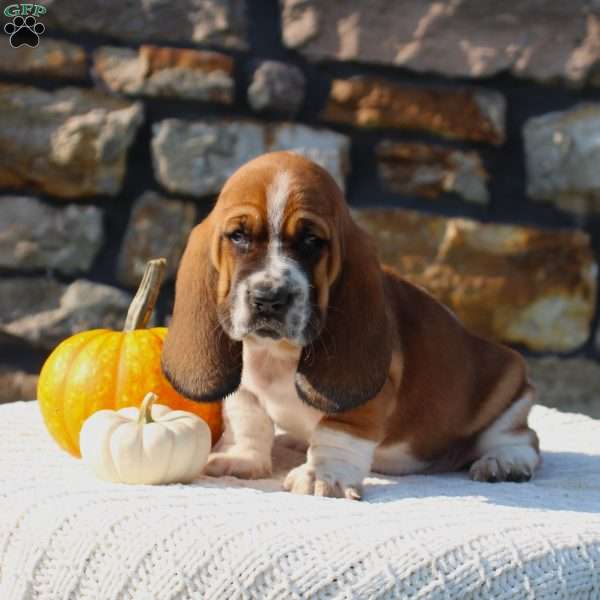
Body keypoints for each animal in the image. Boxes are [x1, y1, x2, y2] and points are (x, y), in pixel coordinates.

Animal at [162, 152, 540, 500]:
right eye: (238, 236)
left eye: (312, 240)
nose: (269, 298)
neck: (277, 352)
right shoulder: (244, 389)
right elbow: (249, 420)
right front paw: (242, 458)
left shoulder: (367, 399)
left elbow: (337, 431)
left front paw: (322, 475)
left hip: (510, 388)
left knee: (521, 438)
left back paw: (504, 462)